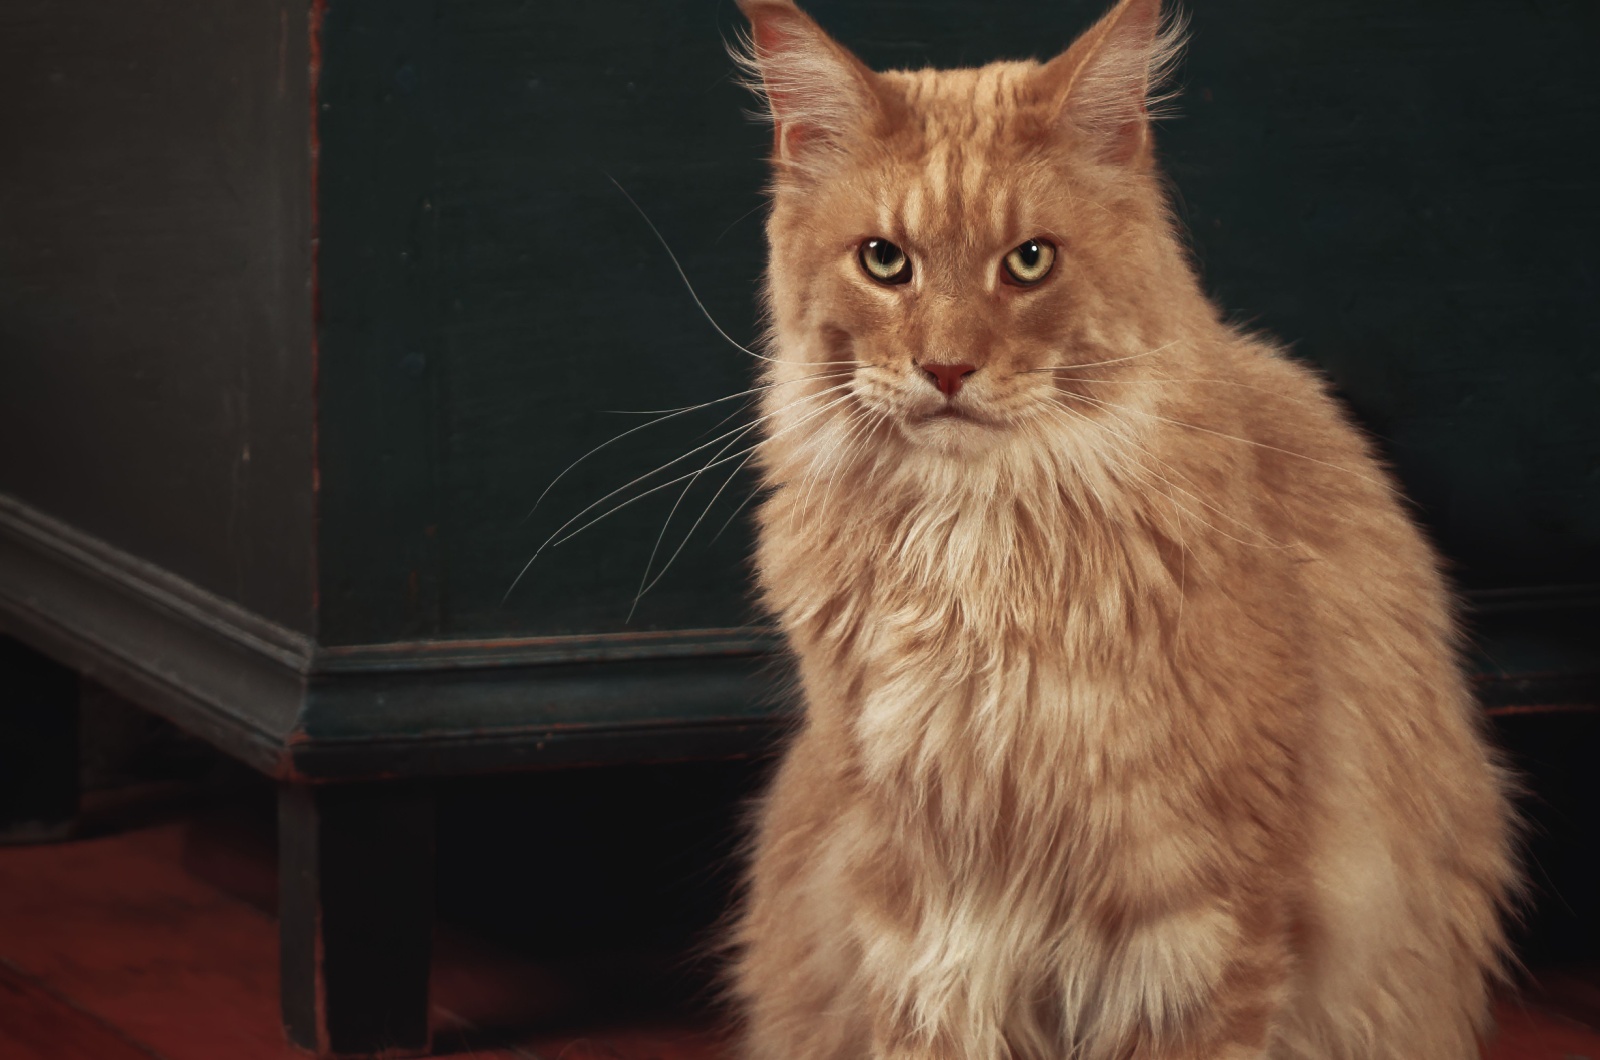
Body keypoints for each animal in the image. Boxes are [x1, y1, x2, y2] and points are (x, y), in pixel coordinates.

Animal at [726, 0, 1523, 1056]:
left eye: (1030, 261)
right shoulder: (917, 913)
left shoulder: (1198, 920)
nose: (946, 369)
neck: (977, 555)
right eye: (884, 261)